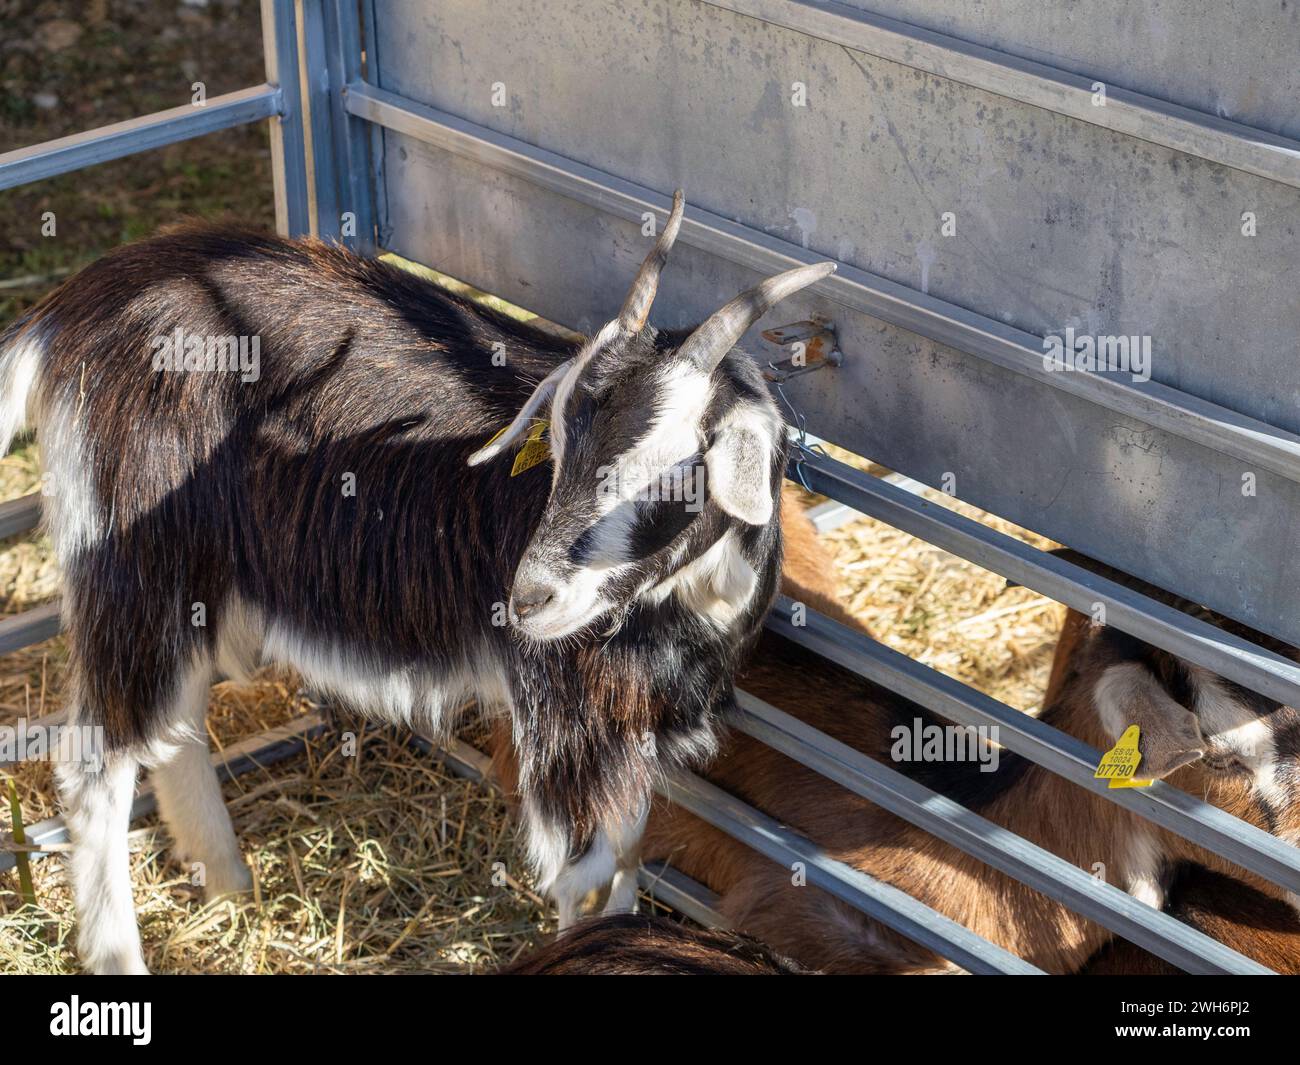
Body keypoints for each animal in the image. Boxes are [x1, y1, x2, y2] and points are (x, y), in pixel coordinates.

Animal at [0, 191, 832, 972]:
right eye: (559, 444)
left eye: (682, 469)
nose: (529, 599)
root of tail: (76, 303)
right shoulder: (568, 718)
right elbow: (589, 878)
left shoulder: (635, 723)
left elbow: (628, 856)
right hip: (136, 561)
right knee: (95, 760)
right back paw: (120, 950)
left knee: (174, 723)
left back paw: (228, 881)